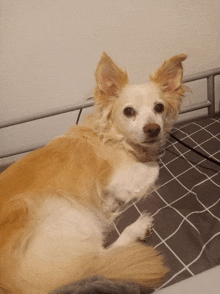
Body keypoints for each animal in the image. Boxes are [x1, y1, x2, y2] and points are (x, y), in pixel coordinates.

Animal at [0, 51, 187, 292]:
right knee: (99, 257)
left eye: (159, 108)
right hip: (67, 210)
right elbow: (154, 167)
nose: (153, 129)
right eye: (128, 111)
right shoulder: (121, 181)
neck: (114, 136)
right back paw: (137, 228)